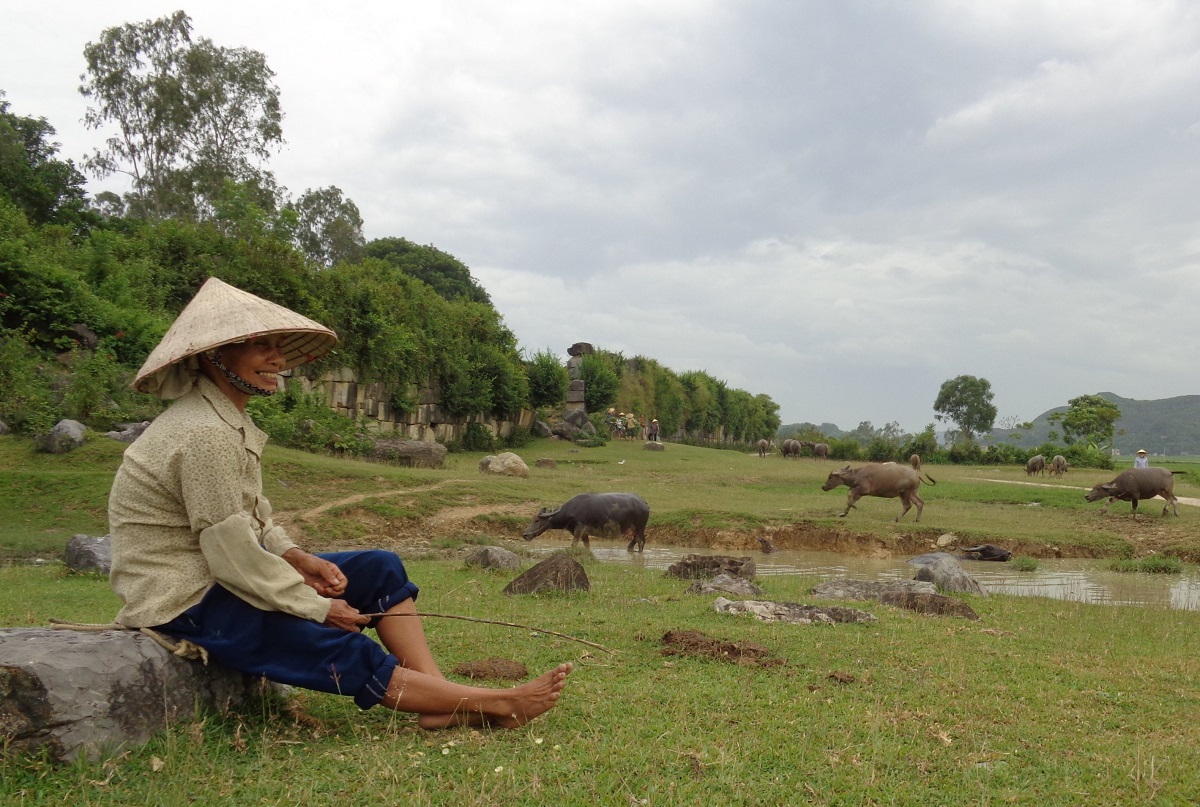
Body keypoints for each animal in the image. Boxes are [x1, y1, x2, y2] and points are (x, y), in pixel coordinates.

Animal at [523, 487, 652, 552]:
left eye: (537, 520)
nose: (525, 535)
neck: (572, 510)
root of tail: (643, 503)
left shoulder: (579, 529)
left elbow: (573, 545)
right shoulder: (584, 534)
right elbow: (587, 546)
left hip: (640, 528)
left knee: (641, 541)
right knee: (634, 541)